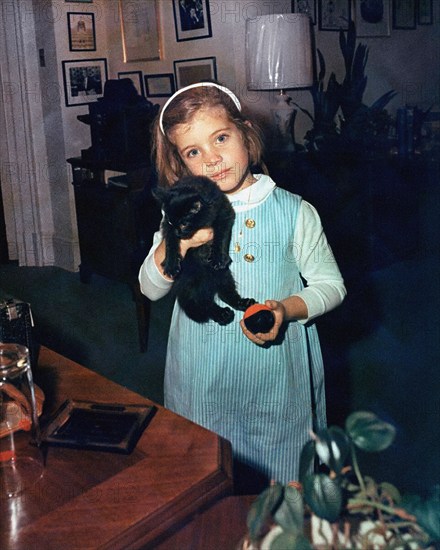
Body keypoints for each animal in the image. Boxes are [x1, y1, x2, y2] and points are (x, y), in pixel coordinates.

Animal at [154, 177, 254, 326]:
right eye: (171, 222)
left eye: (184, 224)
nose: (178, 233)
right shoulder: (166, 227)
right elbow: (170, 244)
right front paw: (171, 265)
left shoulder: (225, 213)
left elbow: (221, 237)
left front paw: (218, 258)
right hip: (192, 284)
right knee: (203, 304)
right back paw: (222, 315)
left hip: (224, 275)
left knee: (225, 294)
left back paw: (242, 303)